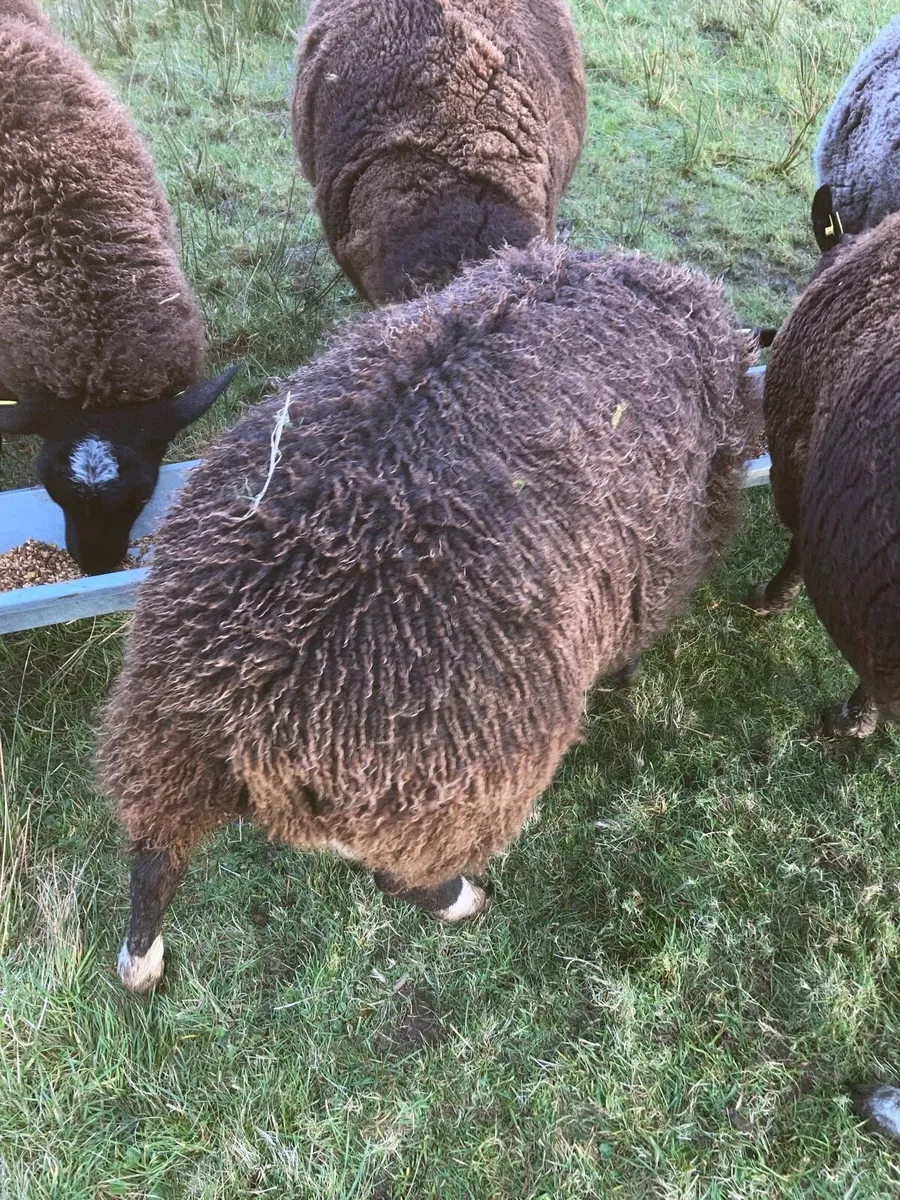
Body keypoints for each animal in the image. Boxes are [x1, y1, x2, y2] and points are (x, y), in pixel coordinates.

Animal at [97, 240, 758, 993]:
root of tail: (241, 699)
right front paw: (629, 673)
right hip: (440, 790)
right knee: (401, 878)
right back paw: (464, 900)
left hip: (157, 744)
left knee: (152, 859)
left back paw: (140, 964)